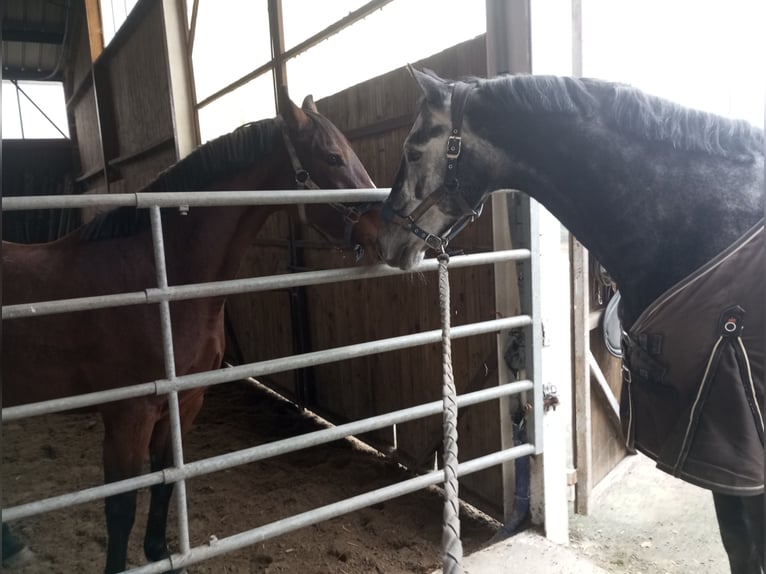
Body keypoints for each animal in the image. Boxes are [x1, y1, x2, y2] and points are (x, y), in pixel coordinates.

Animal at [1, 92, 380, 572]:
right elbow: (120, 505)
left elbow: (167, 479)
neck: (162, 272)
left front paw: (160, 553)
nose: (388, 231)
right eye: (332, 157)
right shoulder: (128, 413)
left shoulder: (184, 401)